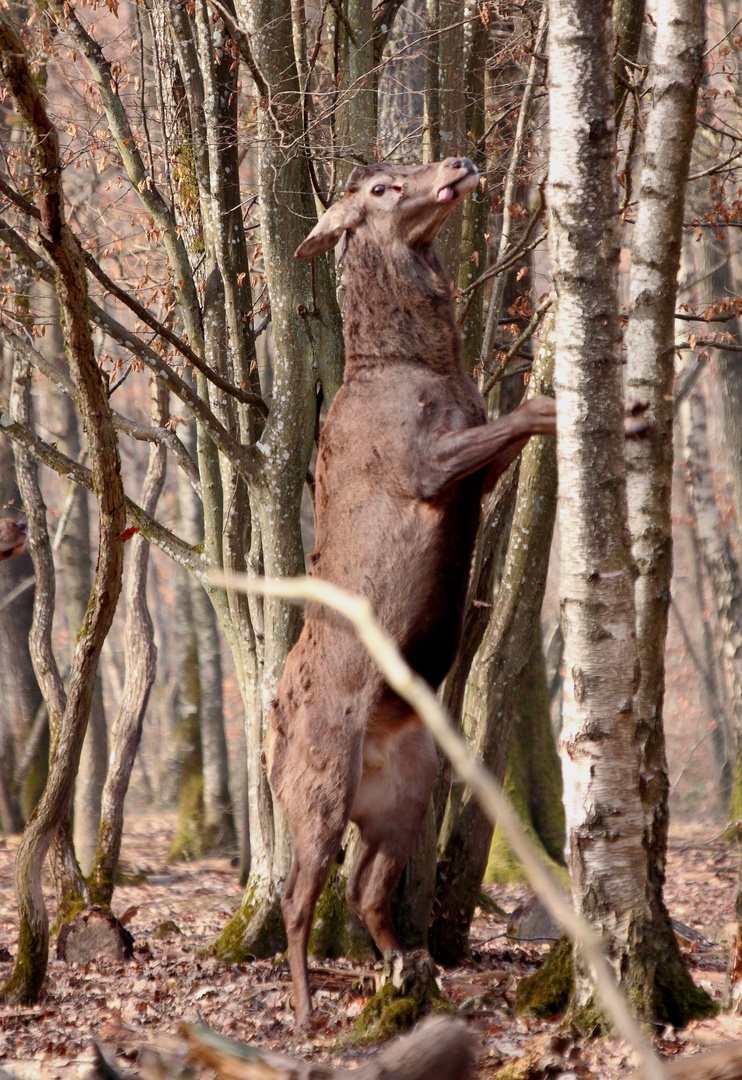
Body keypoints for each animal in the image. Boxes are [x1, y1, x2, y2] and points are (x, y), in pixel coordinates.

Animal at [268, 157, 557, 1028]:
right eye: (379, 190)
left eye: (402, 172)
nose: (458, 162)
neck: (421, 367)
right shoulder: (423, 467)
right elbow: (528, 410)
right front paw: (562, 396)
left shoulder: (471, 473)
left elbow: (511, 427)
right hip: (318, 782)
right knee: (298, 894)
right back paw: (305, 1009)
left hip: (405, 795)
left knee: (365, 889)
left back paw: (411, 969)